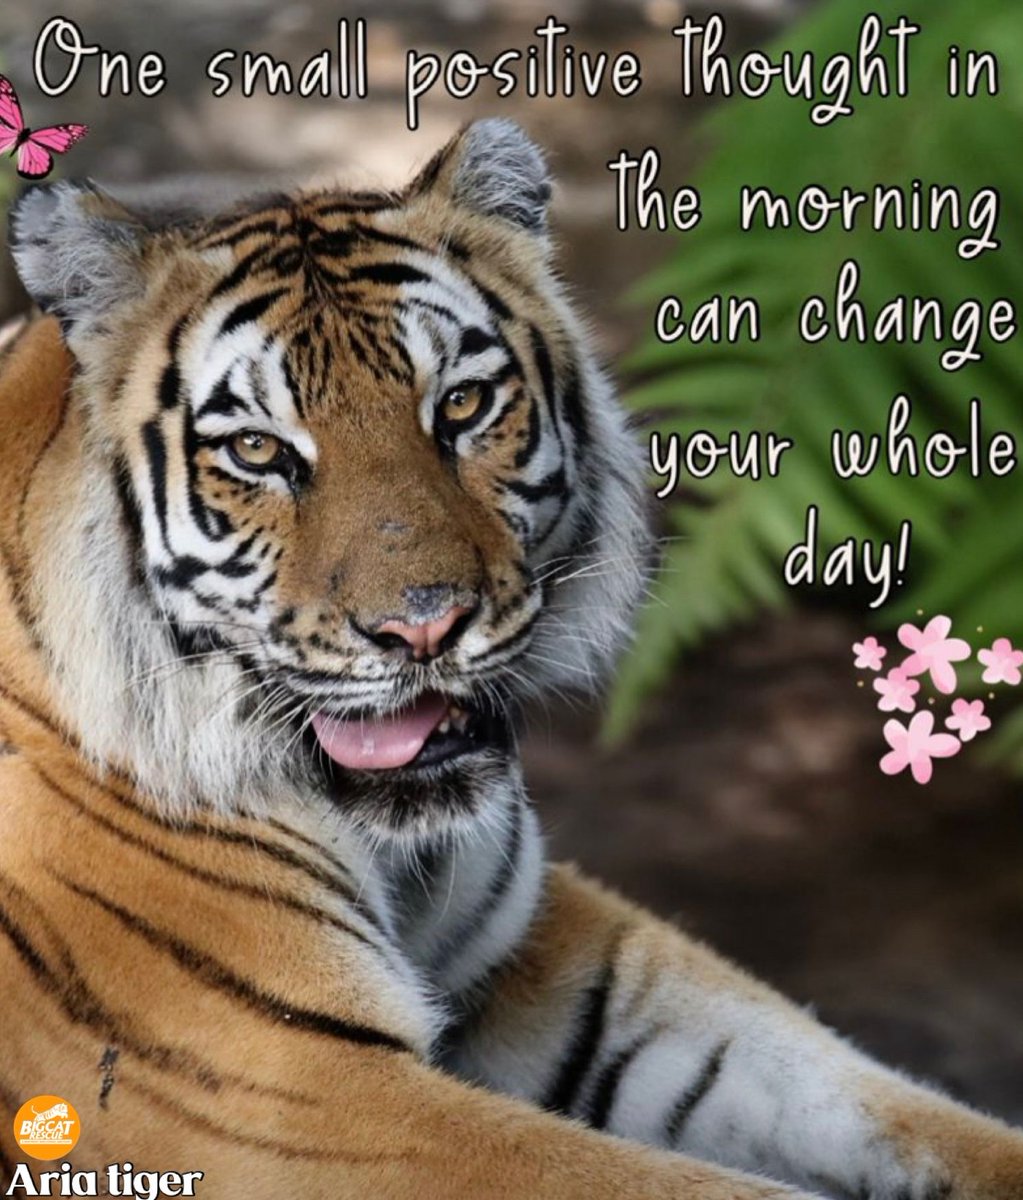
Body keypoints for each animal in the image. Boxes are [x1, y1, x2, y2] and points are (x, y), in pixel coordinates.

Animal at [0, 118, 1020, 1200]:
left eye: (461, 404)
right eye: (260, 453)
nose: (422, 628)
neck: (392, 847)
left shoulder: (553, 957)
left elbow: (862, 1095)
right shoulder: (287, 1088)